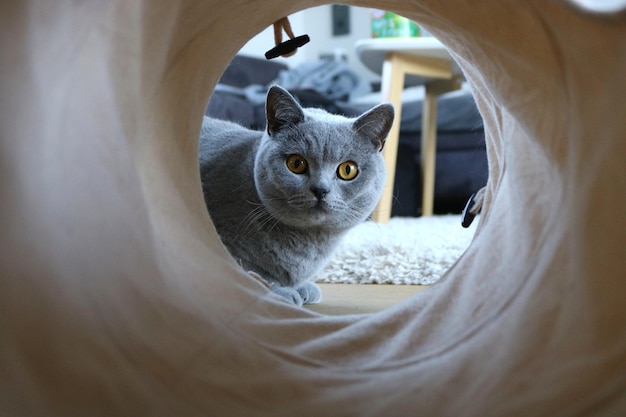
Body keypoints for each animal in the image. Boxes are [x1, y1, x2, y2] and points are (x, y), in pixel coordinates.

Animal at [197, 85, 392, 306]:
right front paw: (277, 290)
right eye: (296, 163)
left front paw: (300, 288)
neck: (308, 243)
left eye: (348, 170)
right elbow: (244, 267)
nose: (320, 189)